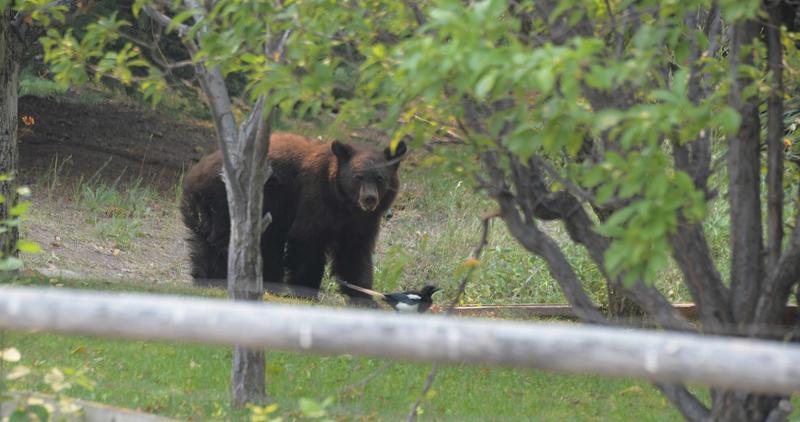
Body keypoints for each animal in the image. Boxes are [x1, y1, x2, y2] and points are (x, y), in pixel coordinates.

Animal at [181, 131, 406, 300]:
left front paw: (362, 293)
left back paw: (208, 278)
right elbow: (307, 238)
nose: (369, 199)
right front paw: (306, 288)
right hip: (228, 203)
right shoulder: (315, 197)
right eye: (358, 177)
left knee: (207, 244)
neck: (344, 204)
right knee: (228, 243)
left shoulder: (362, 221)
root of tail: (194, 174)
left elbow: (355, 251)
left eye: (379, 178)